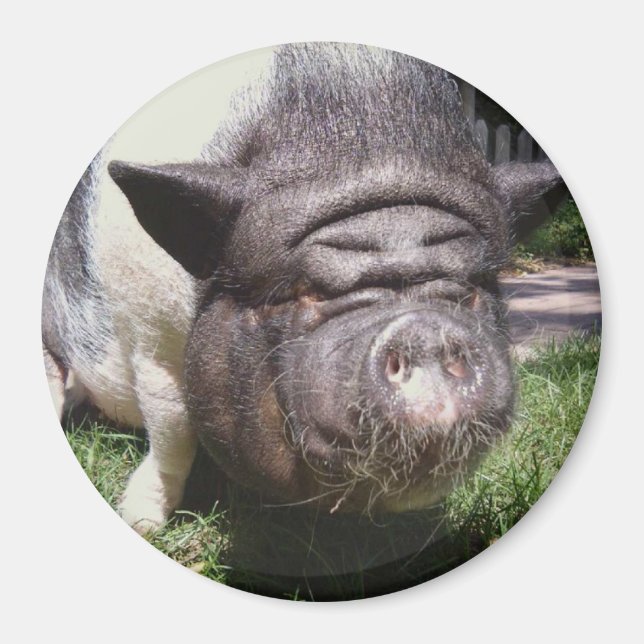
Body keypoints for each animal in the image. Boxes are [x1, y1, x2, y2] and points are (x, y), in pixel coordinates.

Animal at [42, 43, 561, 533]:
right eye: (304, 290)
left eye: (473, 286)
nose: (424, 328)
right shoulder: (148, 331)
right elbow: (173, 428)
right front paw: (143, 523)